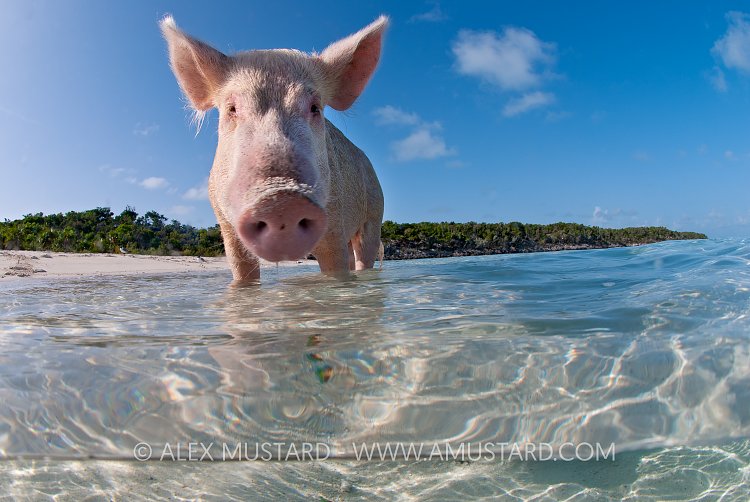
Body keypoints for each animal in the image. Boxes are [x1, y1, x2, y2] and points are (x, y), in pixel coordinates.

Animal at [160, 15, 388, 284]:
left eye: (315, 108)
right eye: (232, 109)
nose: (281, 199)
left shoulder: (335, 222)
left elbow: (336, 271)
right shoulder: (226, 226)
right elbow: (242, 274)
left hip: (374, 212)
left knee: (364, 256)